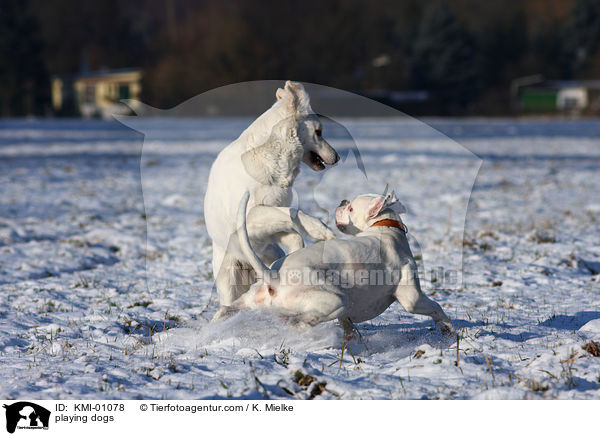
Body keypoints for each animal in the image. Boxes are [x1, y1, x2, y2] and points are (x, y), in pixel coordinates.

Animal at [204, 82, 340, 312]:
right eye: (319, 132)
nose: (337, 157)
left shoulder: (270, 226)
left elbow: (292, 230)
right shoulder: (249, 215)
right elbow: (292, 211)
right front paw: (319, 229)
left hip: (270, 253)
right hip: (228, 279)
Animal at [216, 191, 454, 338]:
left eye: (350, 209)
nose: (342, 202)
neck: (384, 226)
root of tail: (274, 276)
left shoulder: (346, 316)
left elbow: (348, 326)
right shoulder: (411, 298)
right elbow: (436, 308)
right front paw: (449, 329)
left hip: (249, 301)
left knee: (226, 310)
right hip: (334, 300)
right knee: (300, 322)